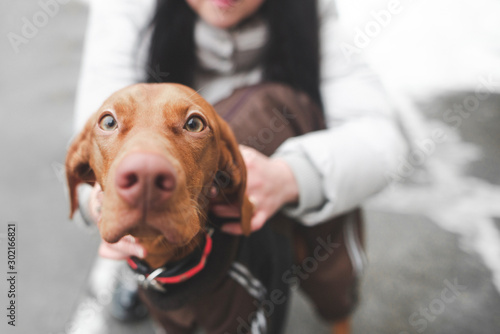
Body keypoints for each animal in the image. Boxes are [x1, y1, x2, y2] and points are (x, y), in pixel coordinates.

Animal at [66, 83, 354, 334]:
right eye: (108, 122)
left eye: (194, 124)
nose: (146, 176)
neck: (169, 266)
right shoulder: (170, 325)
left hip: (327, 257)